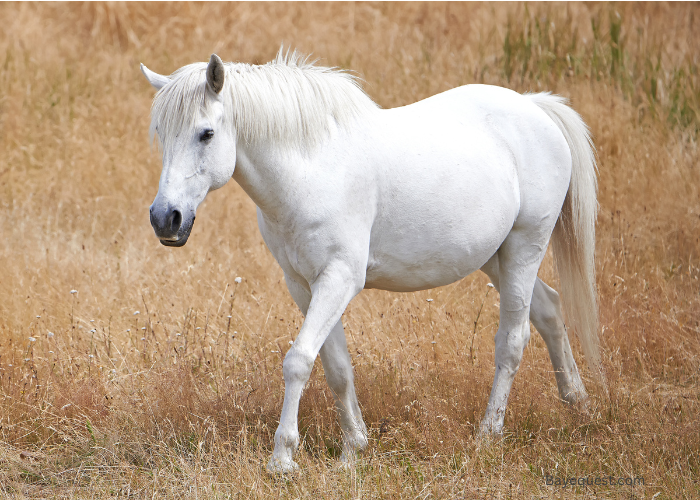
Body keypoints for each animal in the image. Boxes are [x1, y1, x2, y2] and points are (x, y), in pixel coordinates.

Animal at [141, 48, 600, 470]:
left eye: (206, 133)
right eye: (161, 131)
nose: (165, 218)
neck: (311, 171)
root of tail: (535, 107)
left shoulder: (339, 279)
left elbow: (299, 360)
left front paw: (283, 458)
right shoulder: (303, 284)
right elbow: (336, 366)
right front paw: (353, 449)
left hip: (525, 246)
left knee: (512, 340)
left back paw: (489, 433)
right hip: (496, 256)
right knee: (549, 310)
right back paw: (578, 404)